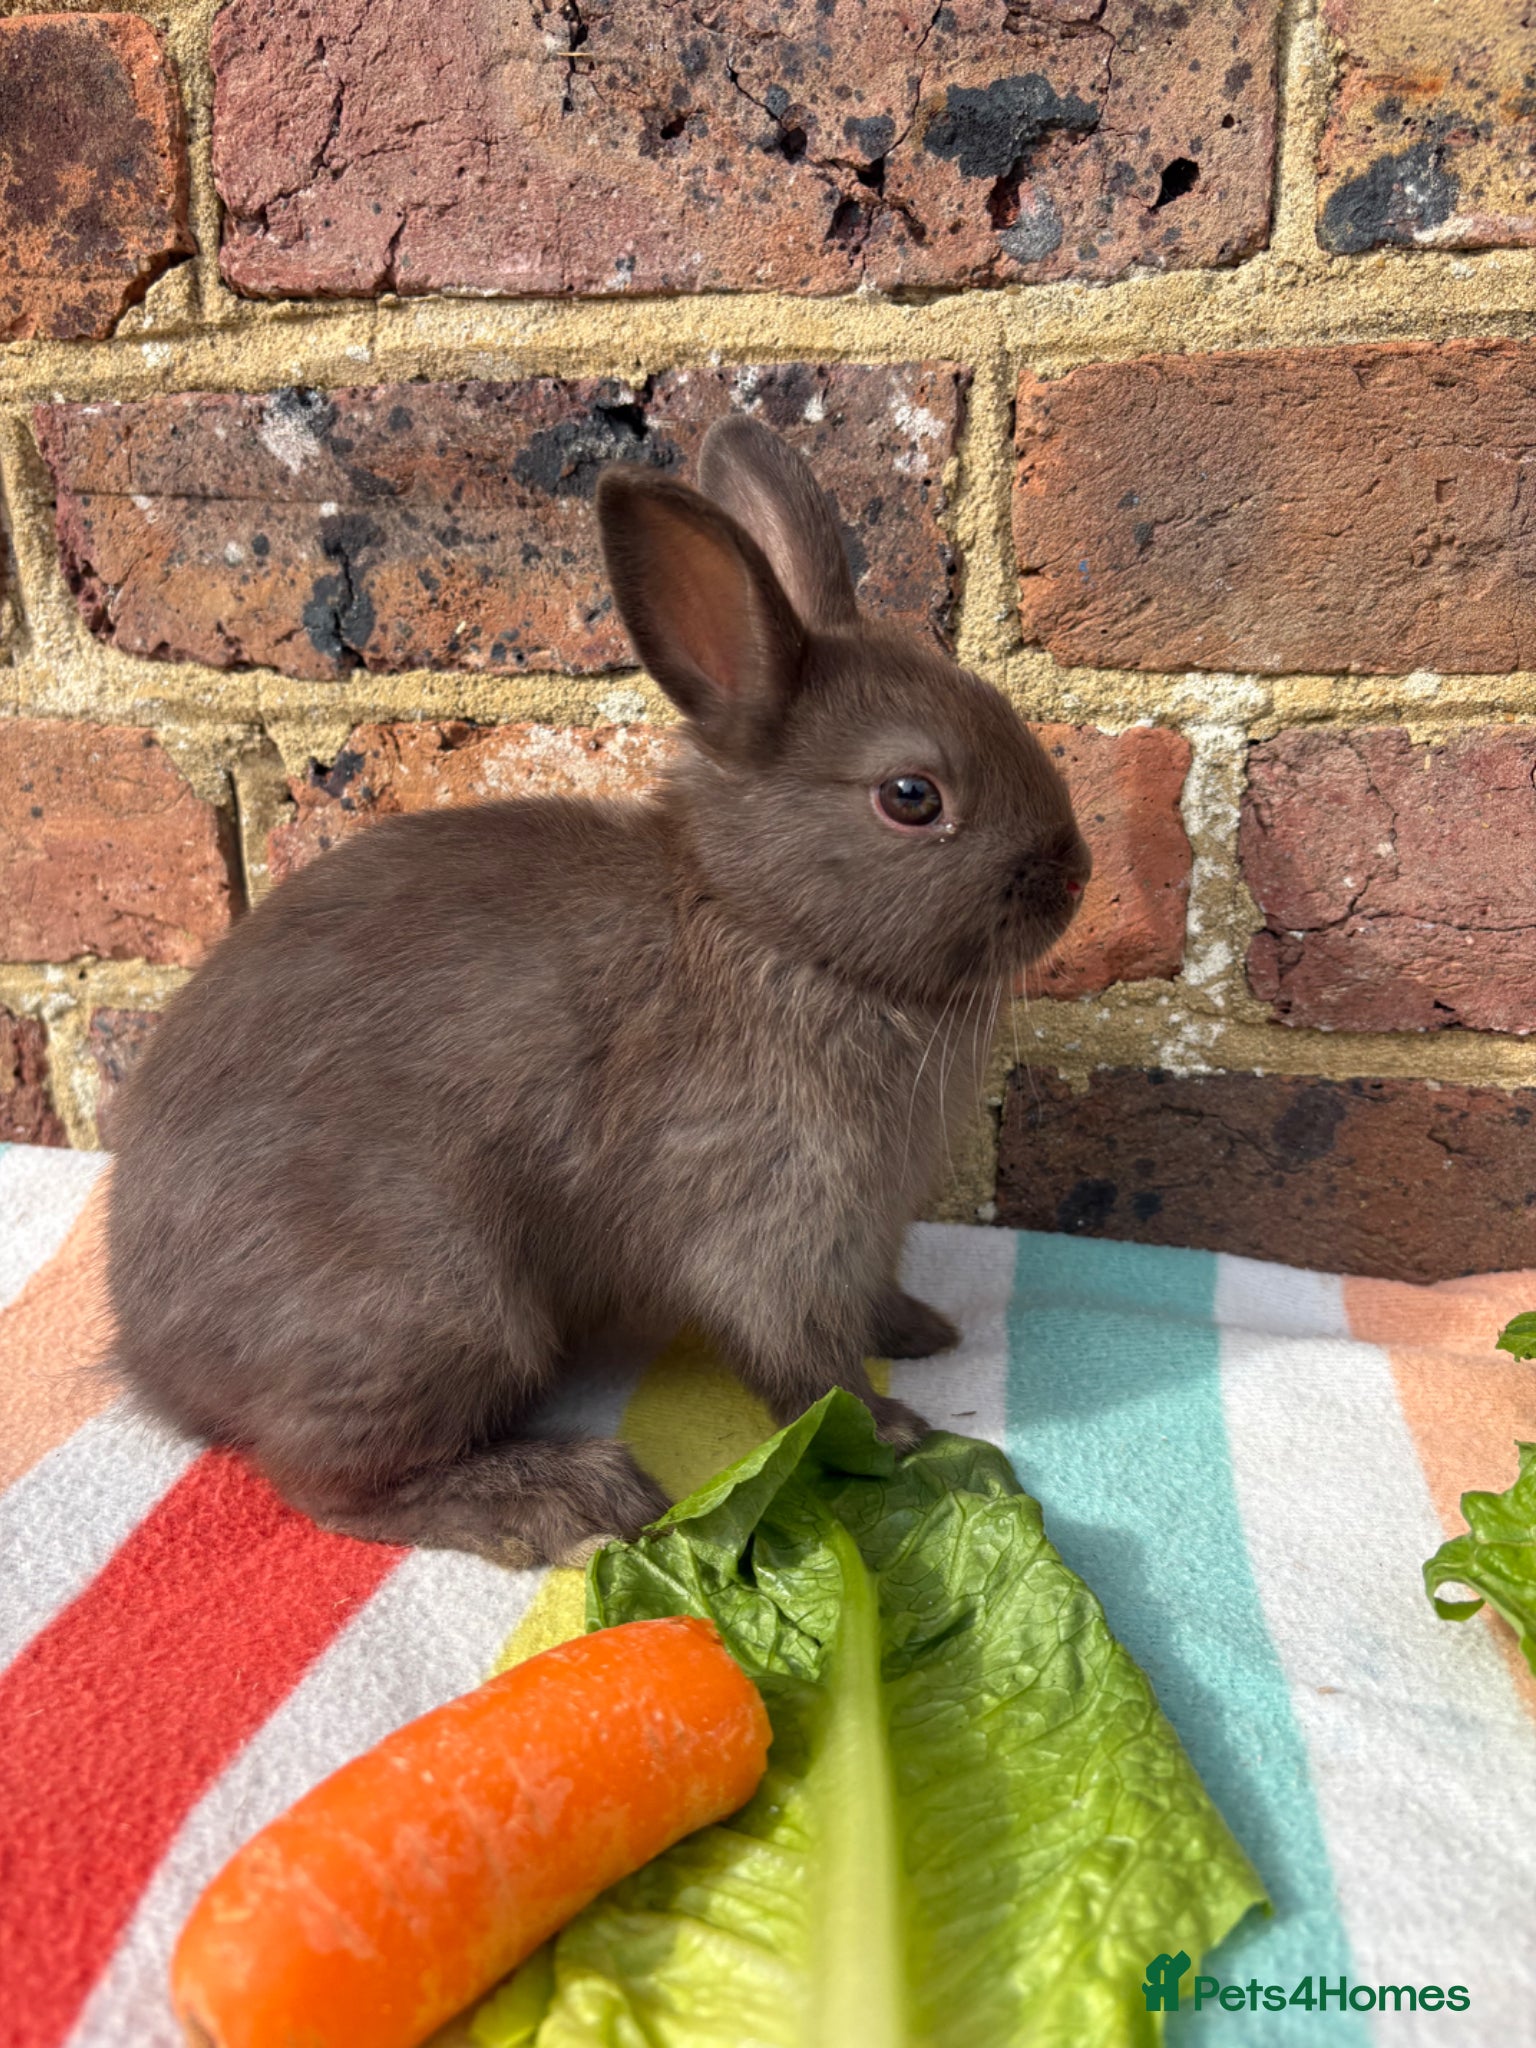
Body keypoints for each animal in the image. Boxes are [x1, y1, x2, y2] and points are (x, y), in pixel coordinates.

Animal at [106, 414, 1090, 1565]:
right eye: (911, 796)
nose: (1075, 873)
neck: (772, 930)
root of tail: (158, 1366)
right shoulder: (768, 1215)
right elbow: (796, 1356)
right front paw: (889, 1428)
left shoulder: (857, 1230)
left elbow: (863, 1299)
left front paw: (921, 1330)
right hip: (438, 1309)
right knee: (327, 1483)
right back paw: (563, 1495)